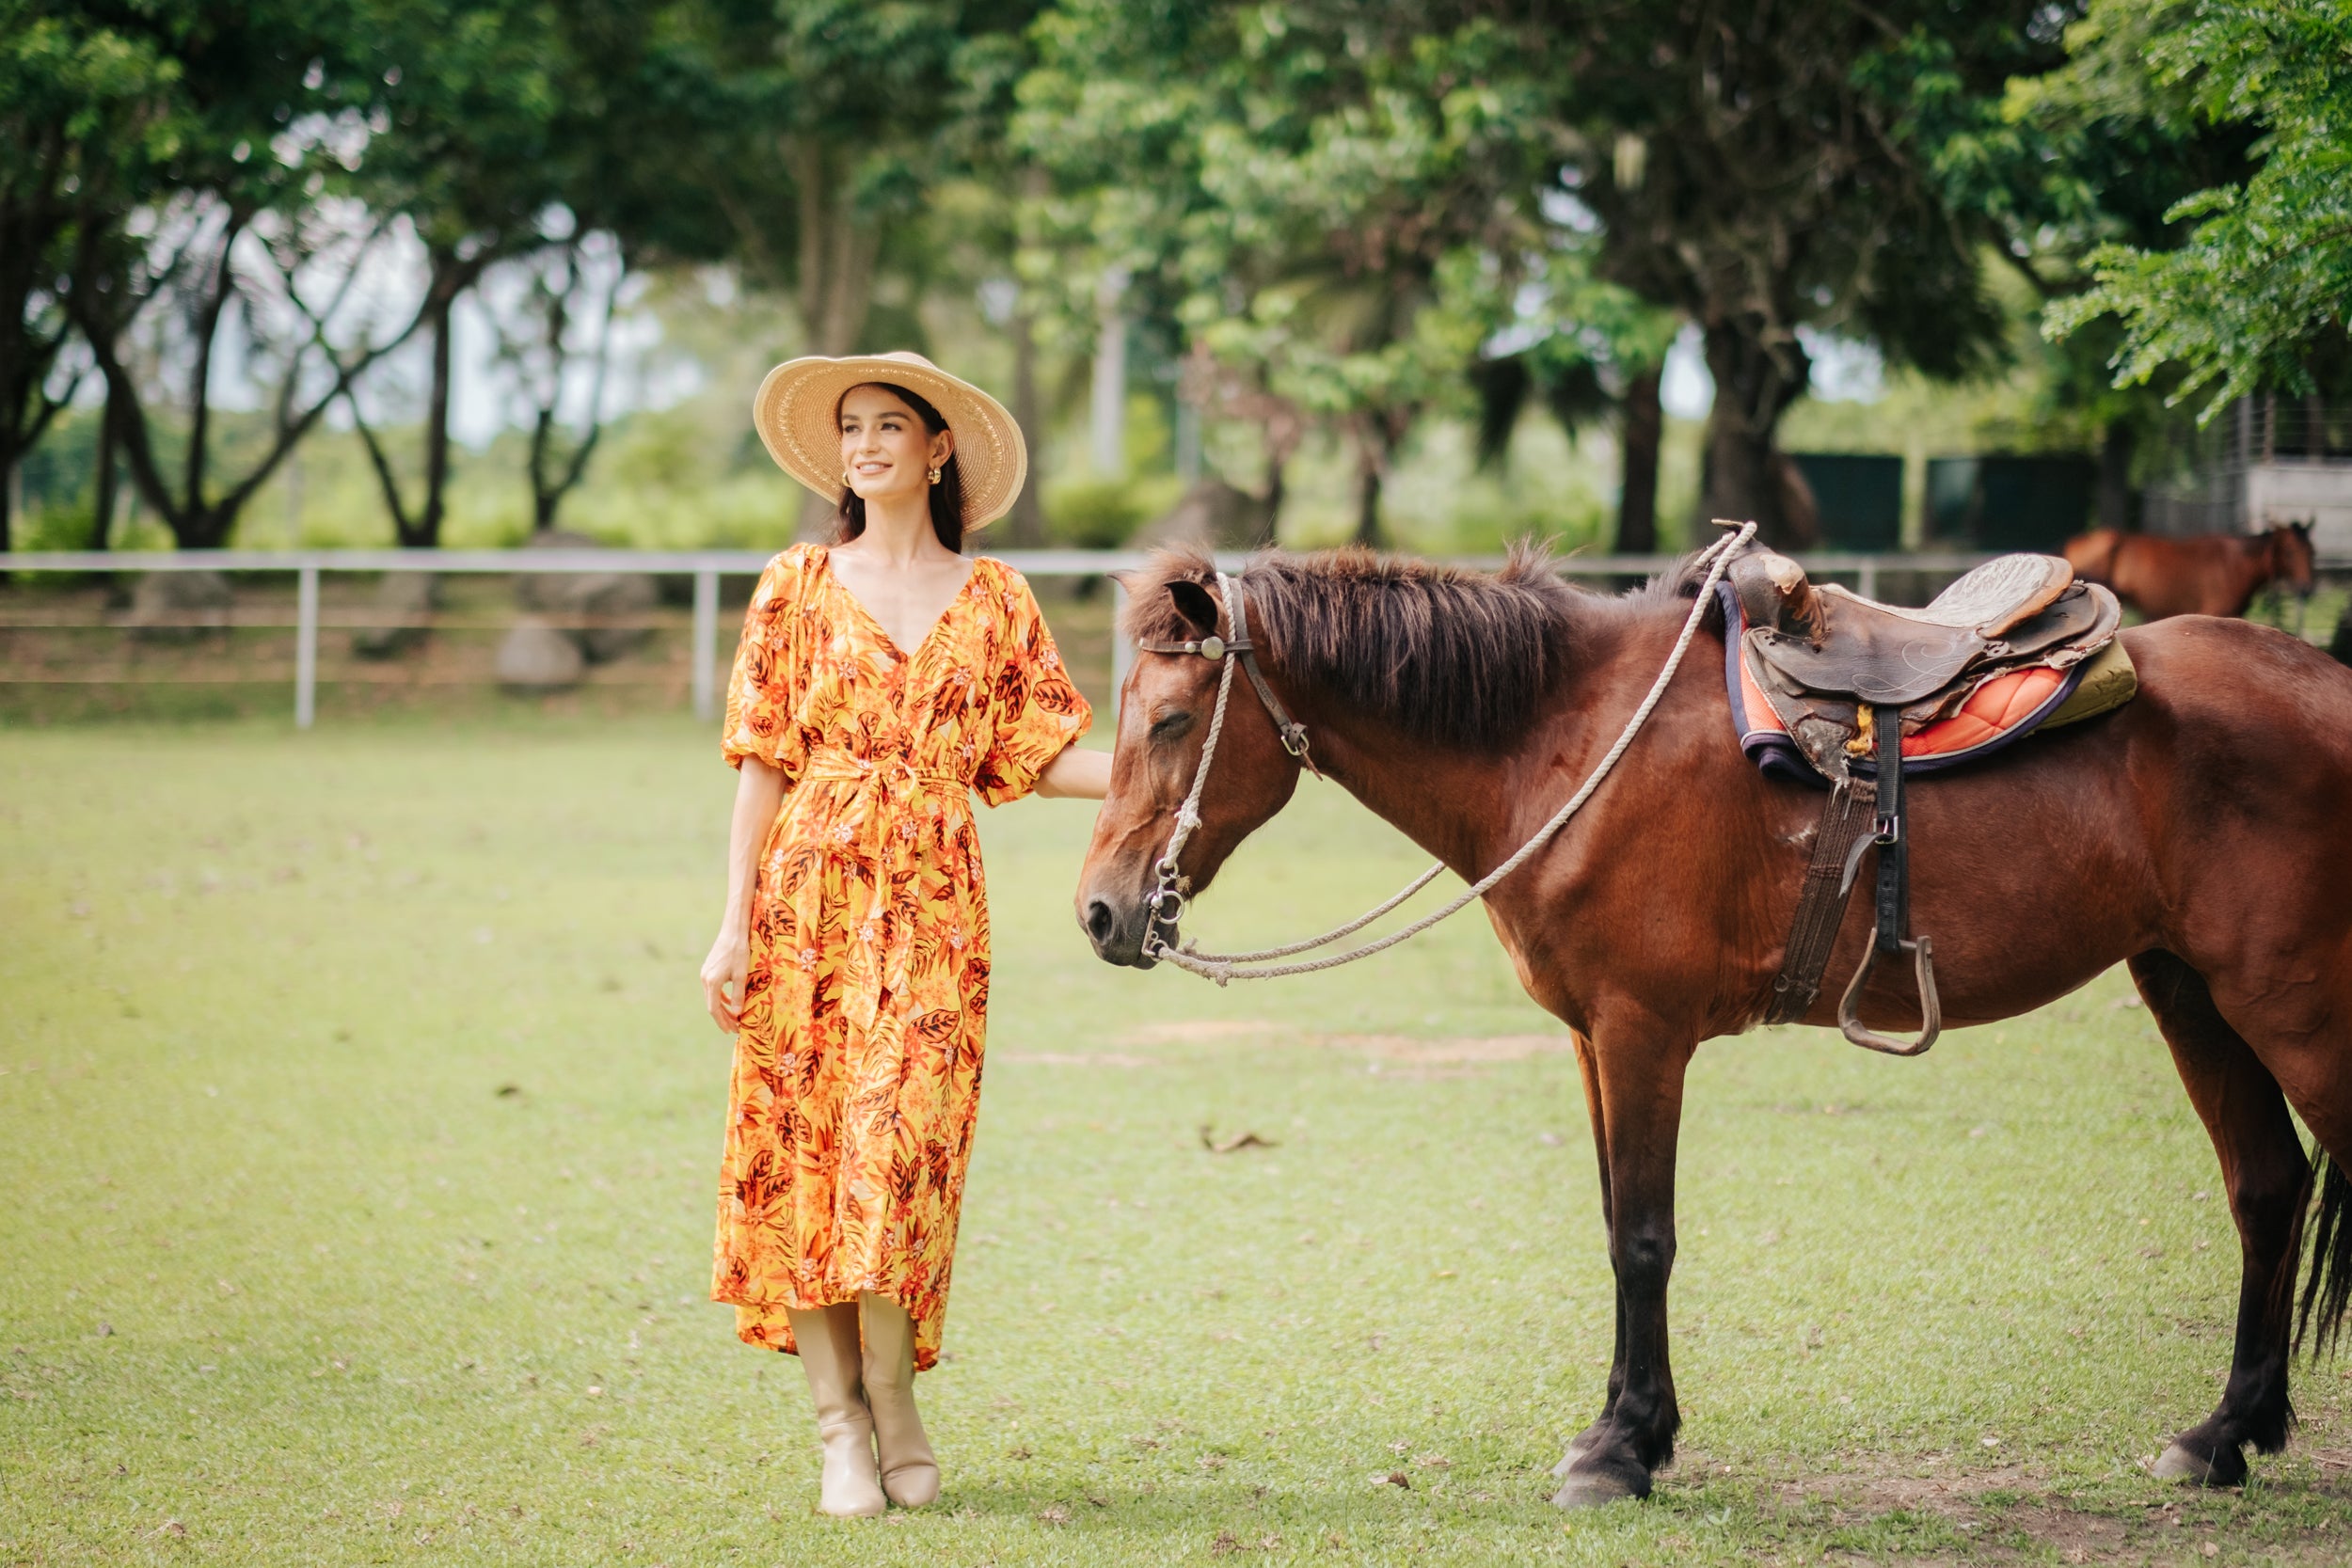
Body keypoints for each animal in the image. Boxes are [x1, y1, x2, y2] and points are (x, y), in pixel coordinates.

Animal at [1077, 549, 2352, 1504]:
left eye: (1174, 718)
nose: (1100, 909)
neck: (1567, 736)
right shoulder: (1590, 1037)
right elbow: (1613, 1226)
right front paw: (1626, 1426)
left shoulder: (1643, 1029)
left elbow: (1644, 1238)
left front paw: (1620, 1450)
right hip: (2188, 989)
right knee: (2265, 1186)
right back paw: (2222, 1432)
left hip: (2296, 1010)